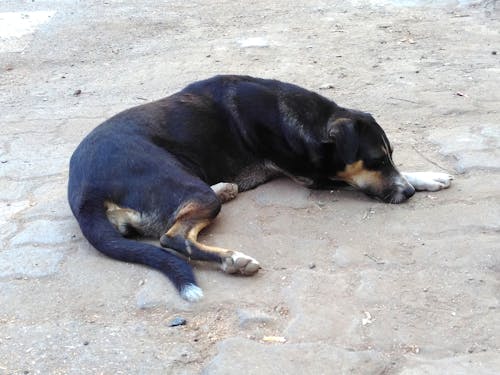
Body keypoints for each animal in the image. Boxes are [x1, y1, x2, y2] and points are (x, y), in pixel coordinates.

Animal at [67, 76, 454, 302]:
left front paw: (424, 178)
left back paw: (226, 188)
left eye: (390, 155)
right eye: (375, 160)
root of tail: (83, 190)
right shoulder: (314, 177)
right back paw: (232, 259)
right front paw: (420, 178)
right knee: (173, 237)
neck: (303, 117)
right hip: (180, 185)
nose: (408, 194)